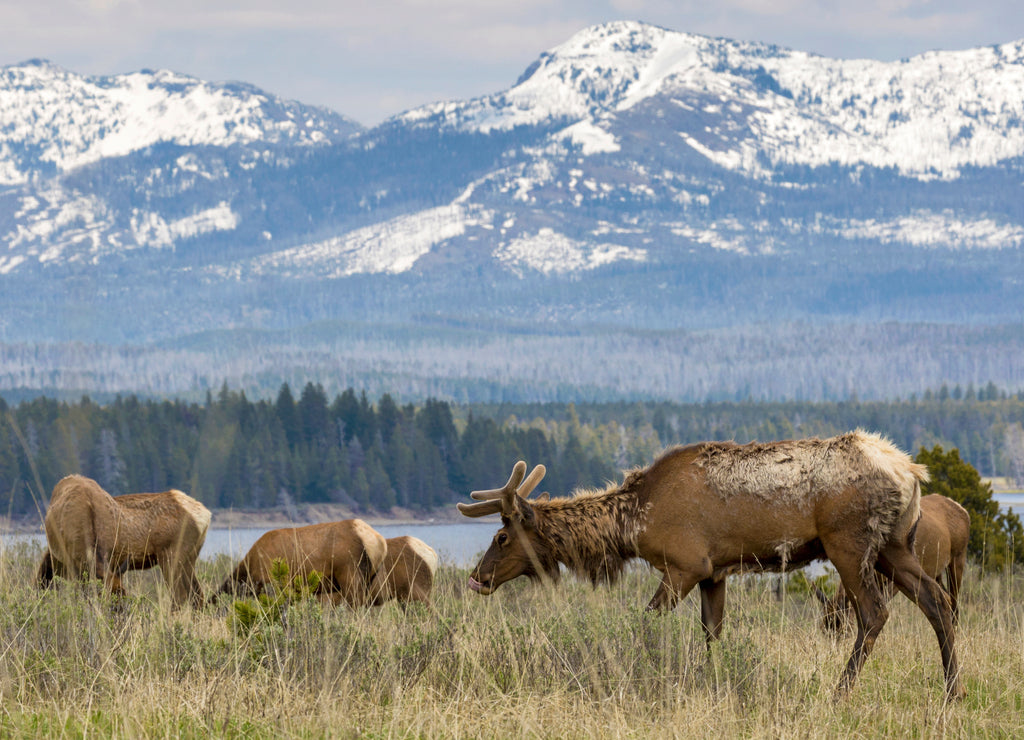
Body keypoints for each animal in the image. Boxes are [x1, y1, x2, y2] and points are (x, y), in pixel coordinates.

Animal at [814, 493, 970, 636]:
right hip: (935, 573)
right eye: (824, 628)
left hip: (958, 558)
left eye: (845, 629)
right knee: (946, 598)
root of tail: (962, 510)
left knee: (954, 601)